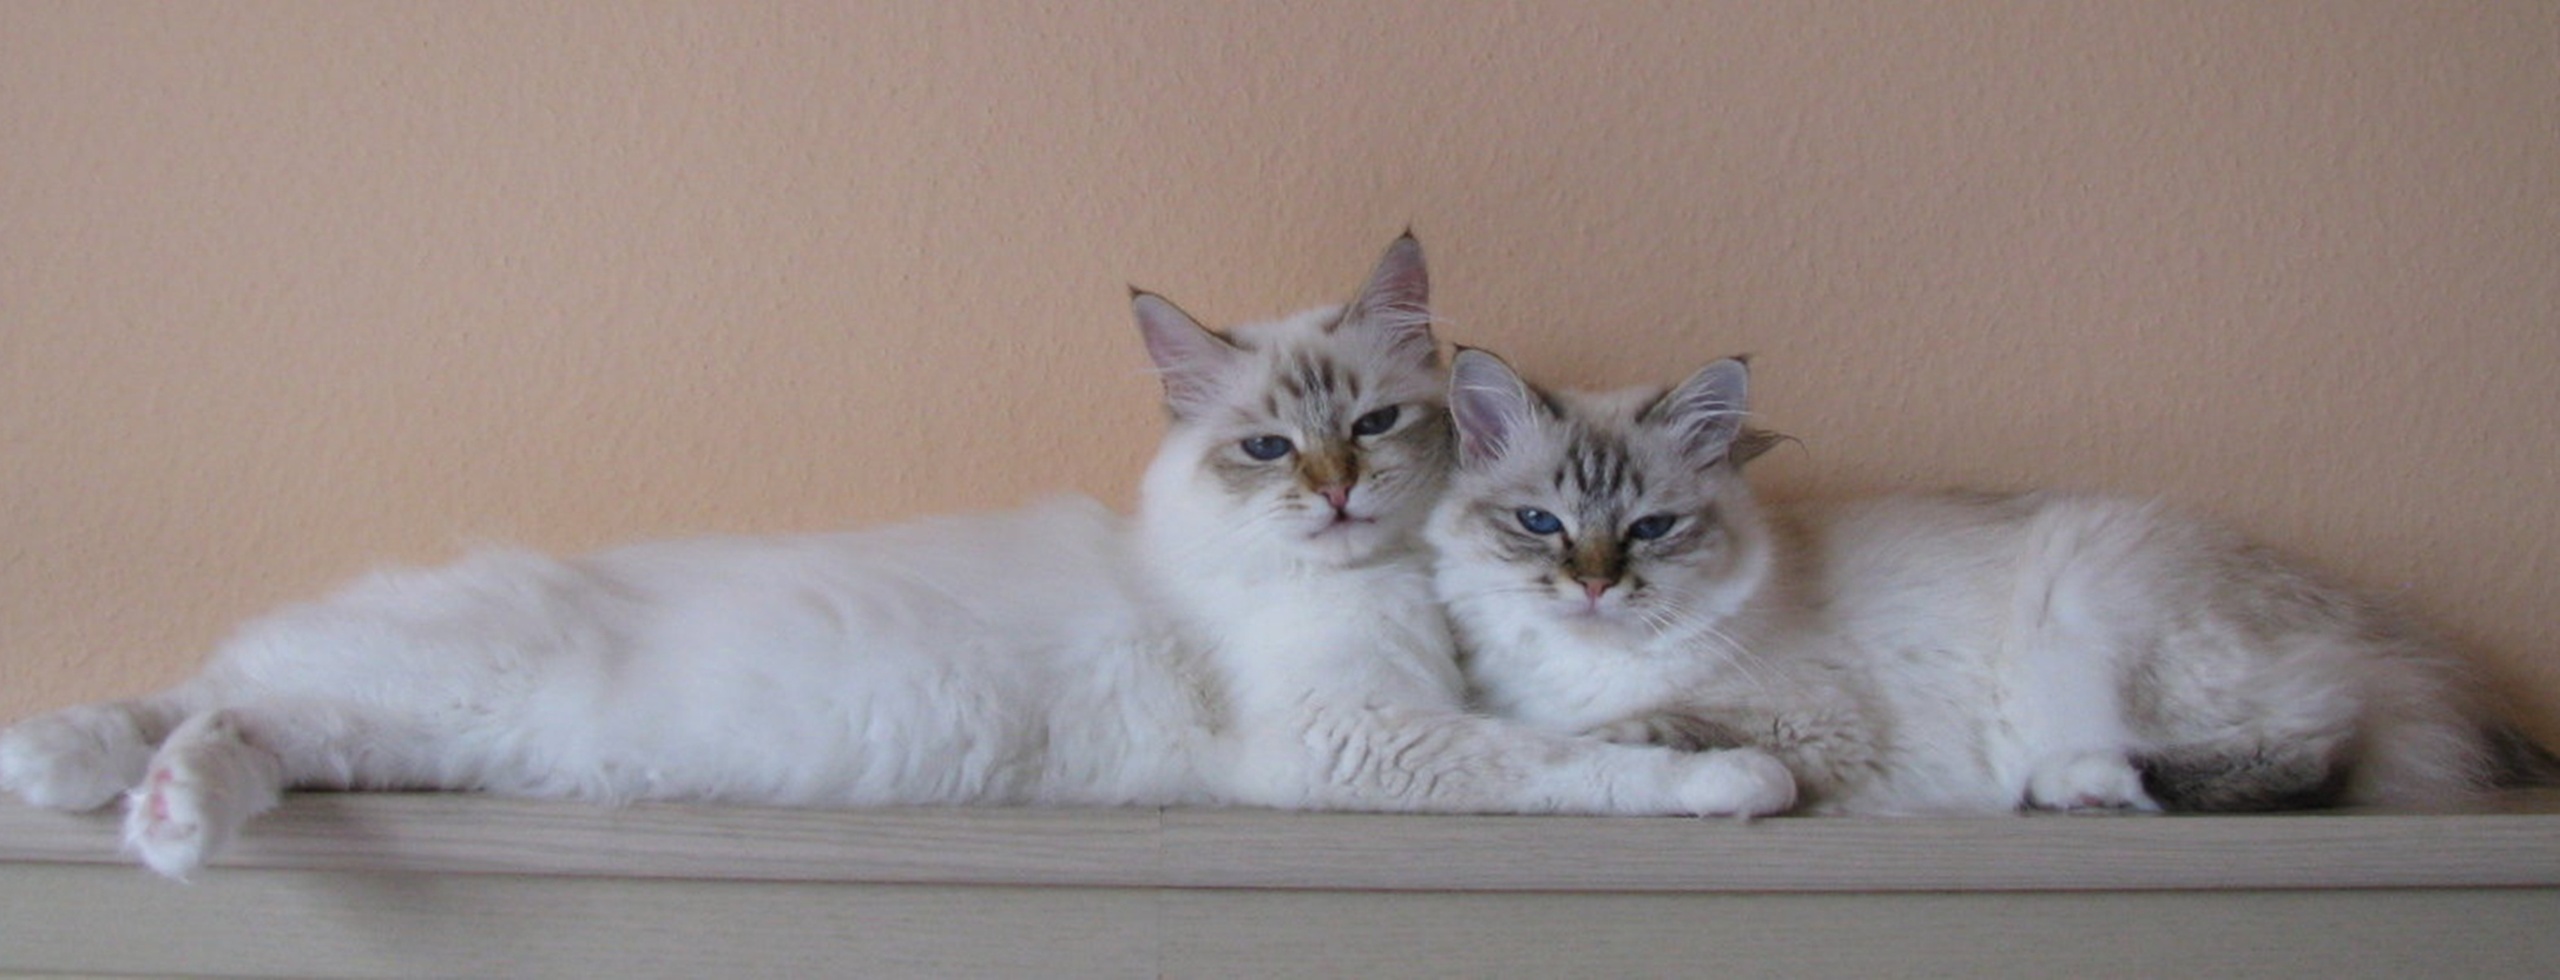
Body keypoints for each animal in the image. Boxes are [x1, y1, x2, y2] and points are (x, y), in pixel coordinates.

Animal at [0, 237, 1794, 878]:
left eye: (1371, 423)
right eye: (1268, 451)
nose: (1345, 497)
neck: (1366, 590)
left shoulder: (1425, 709)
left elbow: (1595, 727)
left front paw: (1711, 737)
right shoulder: (1357, 740)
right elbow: (1574, 765)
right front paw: (1739, 783)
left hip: (397, 732)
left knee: (222, 716)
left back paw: (121, 800)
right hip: (417, 689)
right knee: (206, 692)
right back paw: (122, 802)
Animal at [1429, 345, 2543, 815]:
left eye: (1651, 529)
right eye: (1541, 524)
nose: (1593, 587)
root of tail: (2401, 651)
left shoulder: (1806, 724)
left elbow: (1618, 730)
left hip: (2101, 607)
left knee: (2312, 754)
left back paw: (2077, 782)